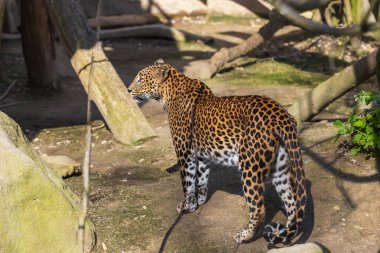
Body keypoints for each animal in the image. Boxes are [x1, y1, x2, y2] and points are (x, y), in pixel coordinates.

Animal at [129, 59, 308, 245]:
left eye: (140, 79)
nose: (128, 90)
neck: (167, 92)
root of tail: (281, 115)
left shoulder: (184, 152)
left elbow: (187, 183)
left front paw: (186, 207)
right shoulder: (202, 156)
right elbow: (201, 180)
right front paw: (199, 203)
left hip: (250, 166)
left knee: (259, 209)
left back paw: (245, 236)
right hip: (279, 167)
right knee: (292, 202)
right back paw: (286, 232)